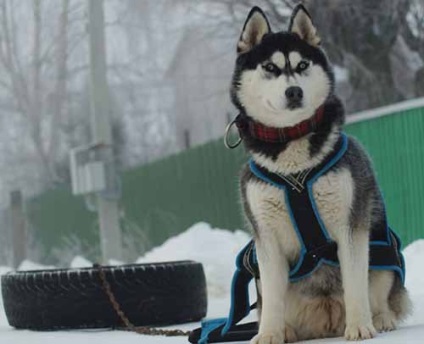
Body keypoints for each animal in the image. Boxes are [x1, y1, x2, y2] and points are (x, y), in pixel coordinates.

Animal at [234, 4, 412, 342]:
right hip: (256, 267)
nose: (293, 91)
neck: (294, 161)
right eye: (270, 68)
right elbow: (272, 296)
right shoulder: (266, 239)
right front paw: (269, 333)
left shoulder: (351, 225)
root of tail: (326, 317)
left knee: (381, 289)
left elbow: (355, 282)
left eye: (302, 65)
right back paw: (287, 330)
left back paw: (380, 318)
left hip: (384, 250)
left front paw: (360, 326)